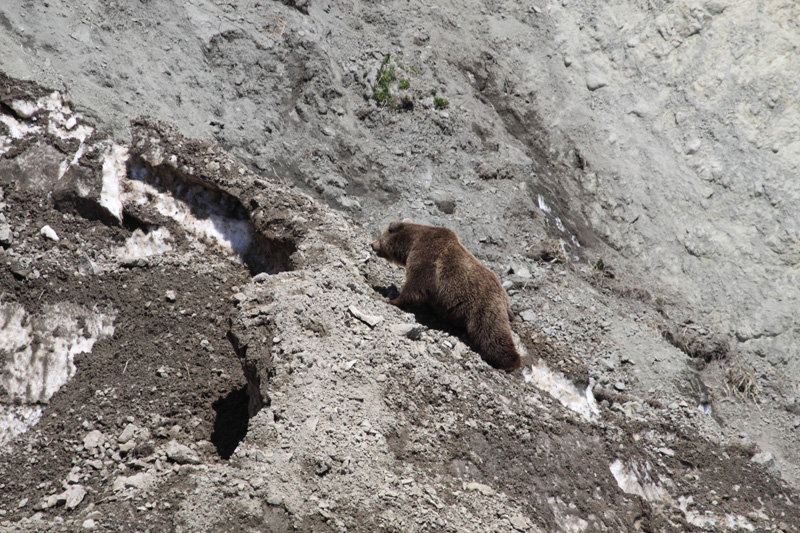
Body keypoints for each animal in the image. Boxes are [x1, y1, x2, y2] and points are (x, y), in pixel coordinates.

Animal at [372, 220, 520, 370]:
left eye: (380, 236)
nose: (372, 244)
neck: (411, 244)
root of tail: (506, 300)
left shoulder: (427, 258)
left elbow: (416, 285)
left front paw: (393, 300)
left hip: (484, 308)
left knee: (492, 333)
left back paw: (510, 362)